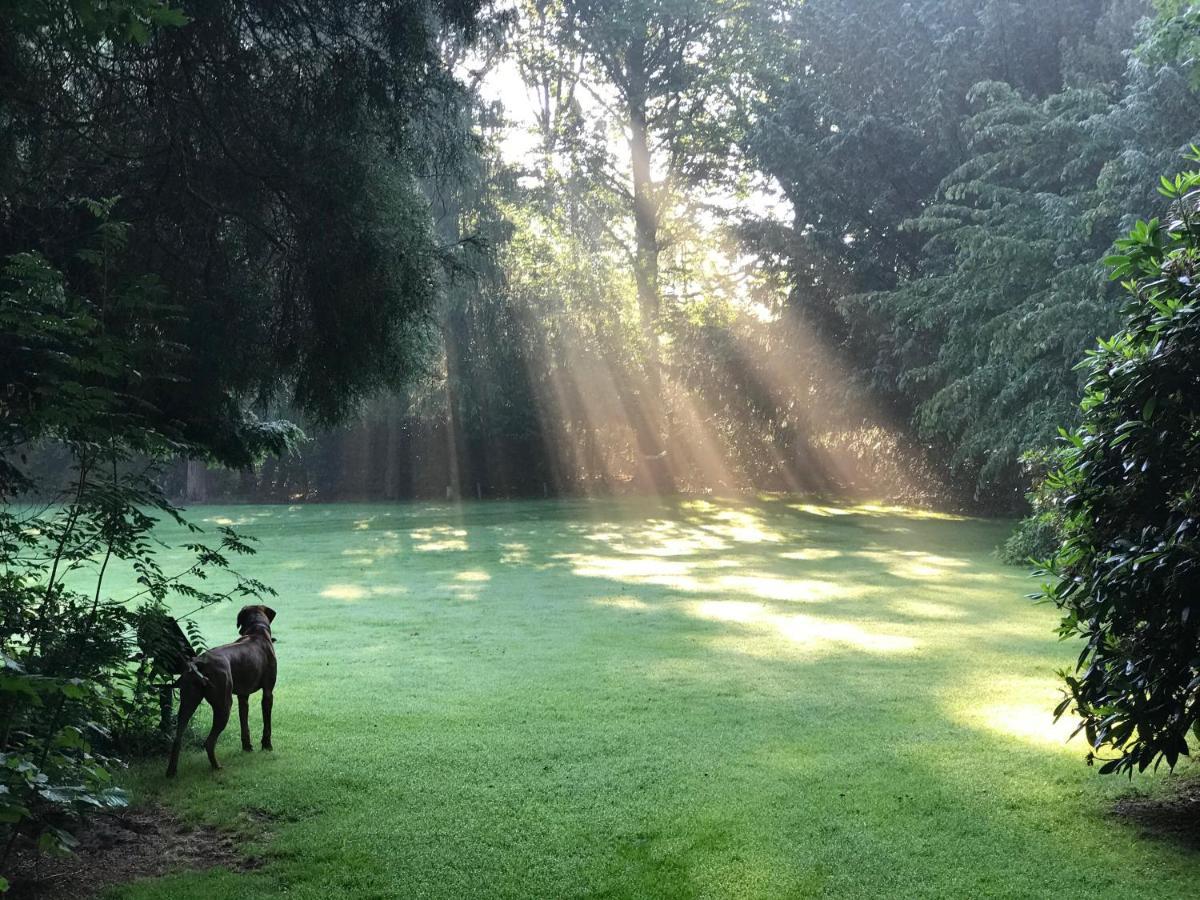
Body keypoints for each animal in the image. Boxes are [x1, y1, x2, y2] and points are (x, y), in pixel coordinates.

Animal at [165, 602, 277, 777]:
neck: (257, 631)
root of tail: (200, 661)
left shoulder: (243, 697)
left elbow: (244, 724)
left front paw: (247, 747)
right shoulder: (268, 693)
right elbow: (267, 724)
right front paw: (266, 746)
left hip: (188, 703)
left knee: (177, 738)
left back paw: (171, 771)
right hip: (224, 704)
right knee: (209, 742)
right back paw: (216, 766)